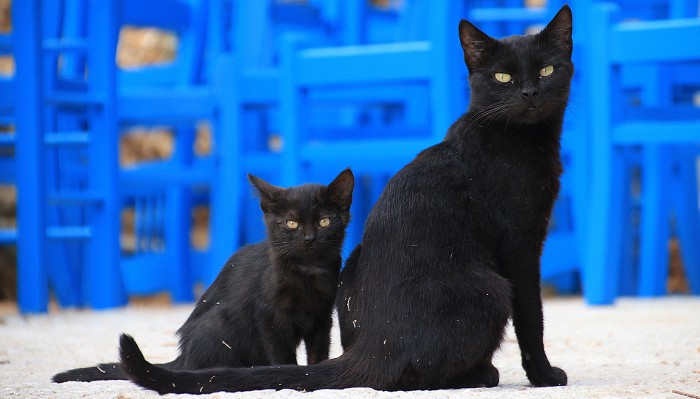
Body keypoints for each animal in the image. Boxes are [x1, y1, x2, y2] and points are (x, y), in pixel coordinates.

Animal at [53, 170, 356, 384]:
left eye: (324, 221)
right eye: (291, 223)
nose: (309, 238)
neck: (309, 272)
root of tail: (182, 356)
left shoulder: (321, 318)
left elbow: (318, 352)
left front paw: (313, 374)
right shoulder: (269, 317)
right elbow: (282, 355)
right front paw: (290, 376)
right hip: (219, 325)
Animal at [117, 6, 572, 394]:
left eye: (547, 70)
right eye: (503, 78)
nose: (529, 93)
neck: (518, 138)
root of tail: (370, 350)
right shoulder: (520, 244)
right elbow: (533, 316)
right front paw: (544, 375)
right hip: (493, 290)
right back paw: (482, 373)